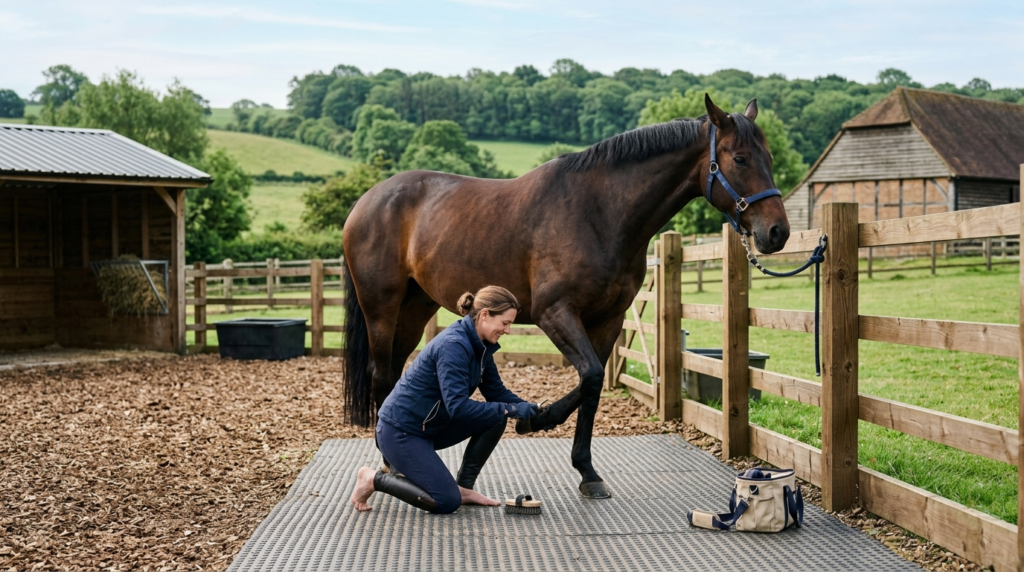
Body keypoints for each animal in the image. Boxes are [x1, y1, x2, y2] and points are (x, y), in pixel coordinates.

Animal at [341, 95, 790, 499]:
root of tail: (366, 201)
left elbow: (592, 386)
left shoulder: (607, 319)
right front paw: (535, 420)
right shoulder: (554, 312)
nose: (777, 232)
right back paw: (389, 462)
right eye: (740, 159)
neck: (600, 211)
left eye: (768, 157)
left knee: (397, 370)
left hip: (415, 308)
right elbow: (589, 376)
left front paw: (586, 471)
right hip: (381, 308)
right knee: (381, 375)